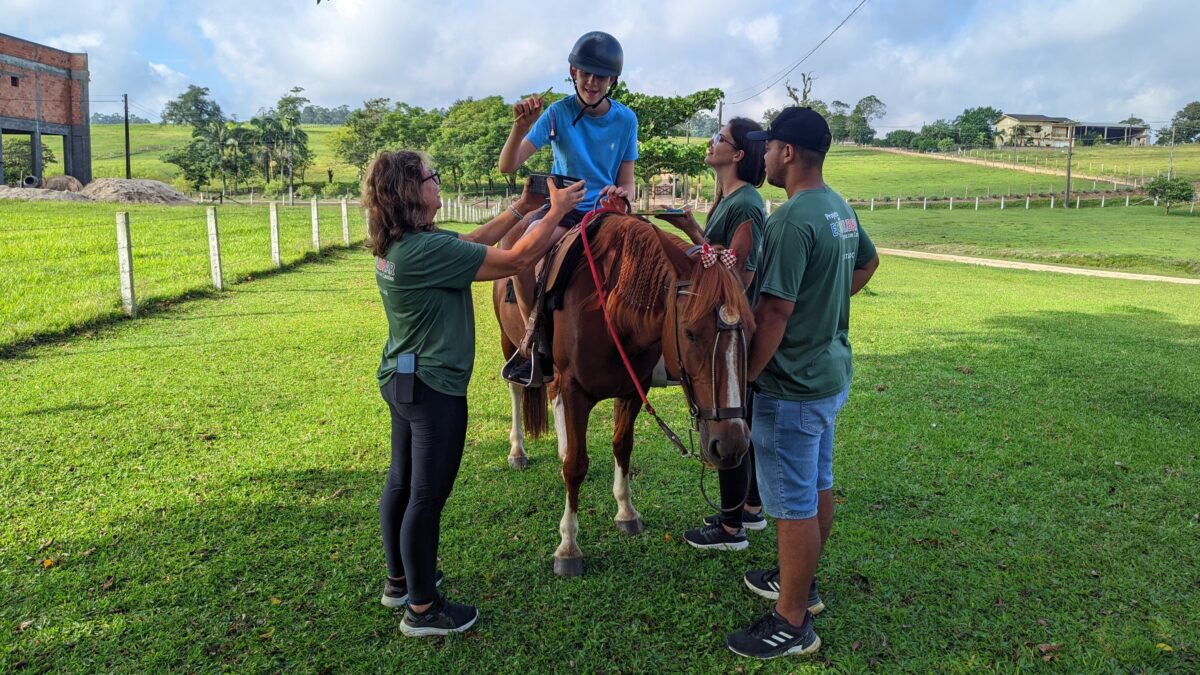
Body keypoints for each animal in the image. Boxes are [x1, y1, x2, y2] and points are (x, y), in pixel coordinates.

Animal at [492, 213, 753, 571]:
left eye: (751, 330)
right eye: (689, 333)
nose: (731, 445)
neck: (609, 309)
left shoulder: (632, 389)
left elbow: (622, 448)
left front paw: (626, 513)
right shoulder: (575, 389)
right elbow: (576, 465)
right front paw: (568, 546)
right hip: (511, 343)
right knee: (517, 391)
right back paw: (518, 450)